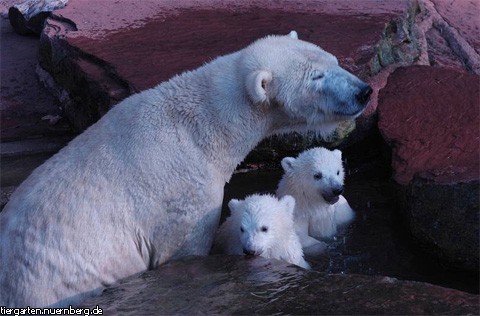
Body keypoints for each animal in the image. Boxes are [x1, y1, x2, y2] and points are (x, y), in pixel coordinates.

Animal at [0, 31, 372, 306]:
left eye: (332, 60)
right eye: (317, 77)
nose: (364, 91)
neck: (202, 128)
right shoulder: (184, 199)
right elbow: (187, 246)